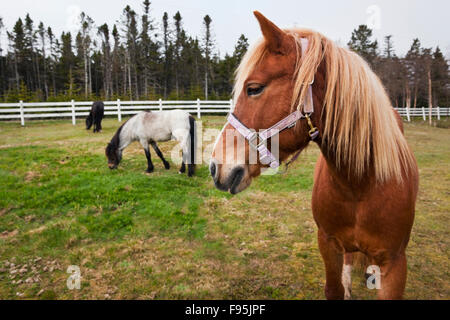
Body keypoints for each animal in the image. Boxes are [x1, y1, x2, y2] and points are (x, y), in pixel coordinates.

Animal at [211, 10, 418, 300]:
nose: (215, 166)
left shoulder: (395, 263)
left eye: (253, 88)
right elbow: (334, 287)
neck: (361, 184)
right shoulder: (328, 244)